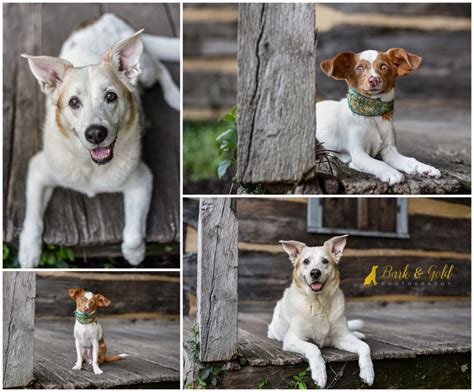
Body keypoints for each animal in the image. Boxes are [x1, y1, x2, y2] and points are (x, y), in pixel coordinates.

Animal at [18, 13, 180, 268]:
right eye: (74, 102)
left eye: (111, 96)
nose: (95, 134)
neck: (90, 166)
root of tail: (101, 16)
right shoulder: (38, 171)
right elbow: (32, 219)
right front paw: (28, 252)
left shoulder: (142, 180)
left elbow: (133, 232)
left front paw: (134, 253)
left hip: (144, 71)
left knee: (161, 69)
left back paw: (176, 97)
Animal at [266, 234, 374, 388]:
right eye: (306, 261)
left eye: (325, 261)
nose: (315, 272)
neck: (319, 303)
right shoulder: (292, 339)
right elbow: (313, 348)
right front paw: (320, 374)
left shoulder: (341, 337)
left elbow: (365, 348)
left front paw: (368, 373)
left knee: (352, 333)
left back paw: (358, 334)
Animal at [316, 47, 442, 185]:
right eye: (359, 68)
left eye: (383, 67)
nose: (374, 80)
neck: (372, 114)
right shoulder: (359, 155)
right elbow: (379, 163)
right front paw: (391, 172)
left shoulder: (390, 152)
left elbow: (410, 160)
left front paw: (425, 167)